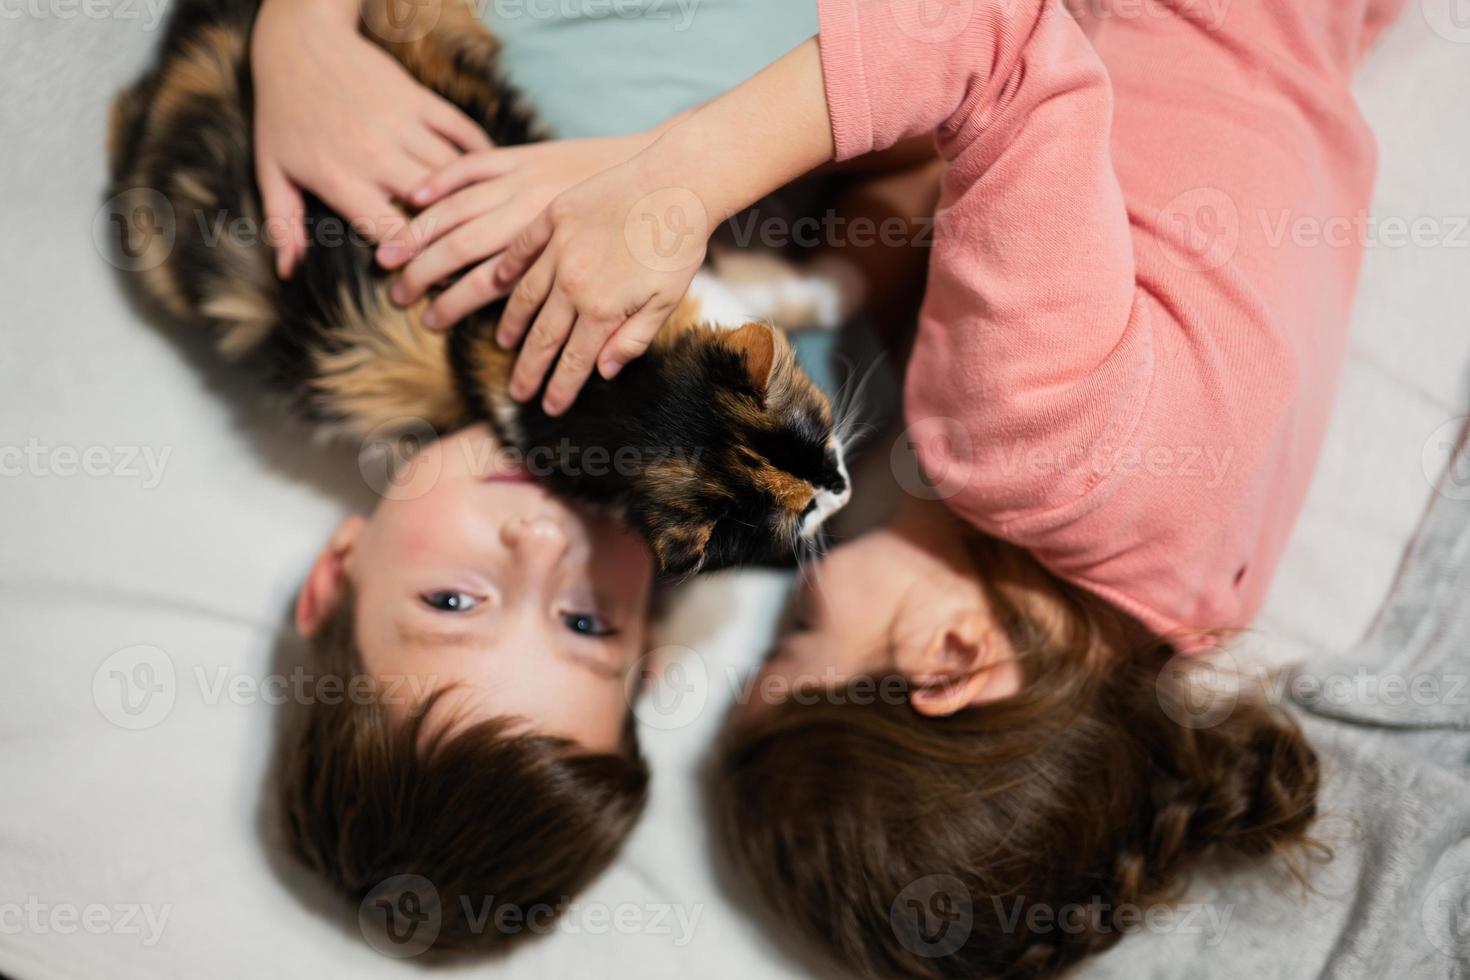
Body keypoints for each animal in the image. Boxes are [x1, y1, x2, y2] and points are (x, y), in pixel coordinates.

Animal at [108, 0, 852, 575]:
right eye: (799, 513)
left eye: (818, 435)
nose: (842, 488)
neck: (612, 399)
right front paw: (841, 292)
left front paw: (835, 291)